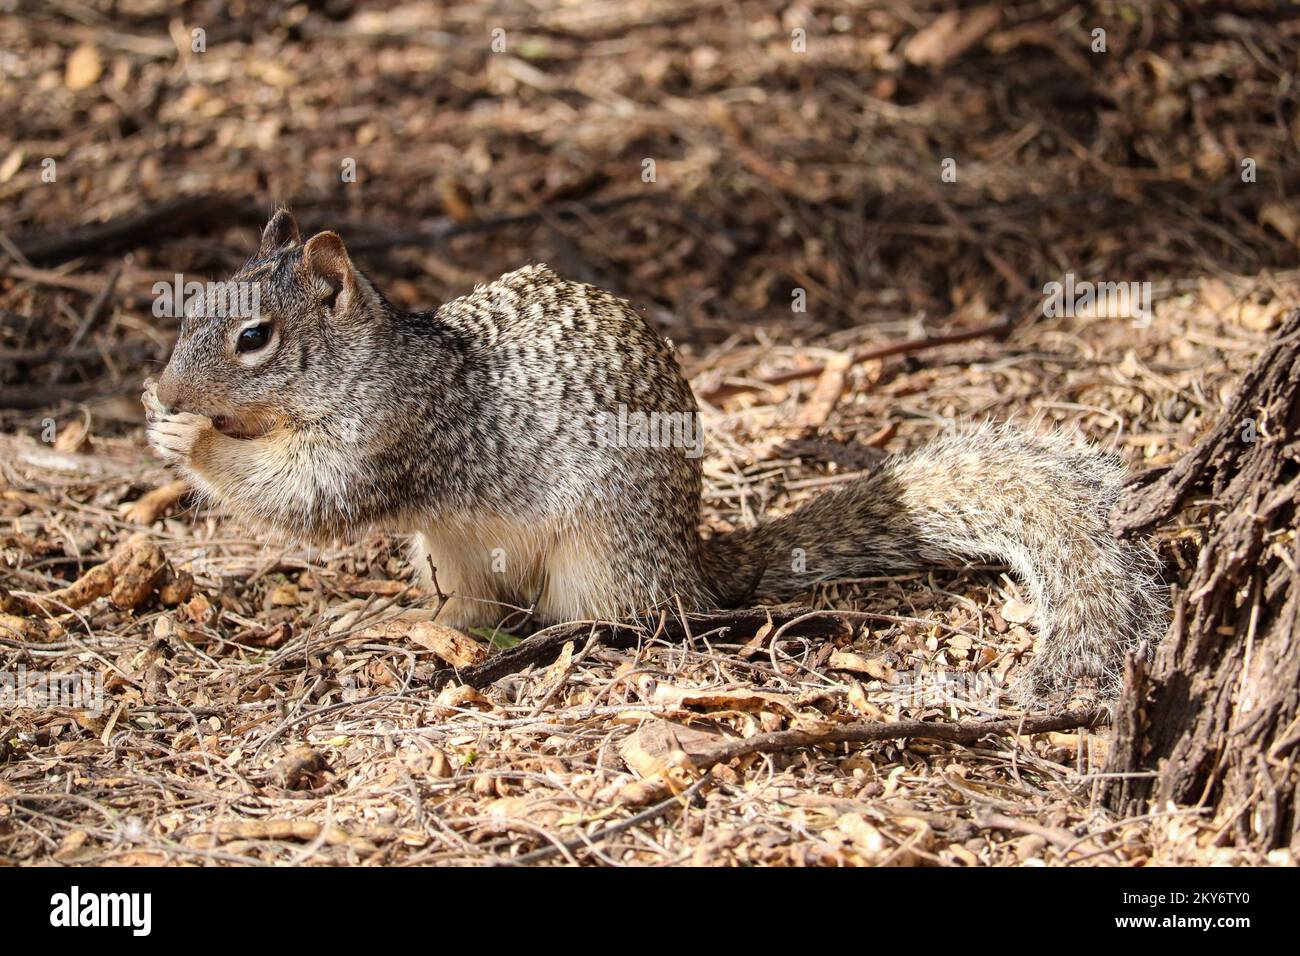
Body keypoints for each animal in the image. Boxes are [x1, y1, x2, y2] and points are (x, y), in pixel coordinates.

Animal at [142, 210, 1170, 702]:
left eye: (254, 338)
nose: (170, 388)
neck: (370, 359)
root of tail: (690, 561)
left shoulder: (391, 435)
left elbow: (309, 498)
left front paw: (186, 439)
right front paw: (164, 419)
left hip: (598, 559)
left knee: (633, 623)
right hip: (450, 551)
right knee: (475, 611)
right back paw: (410, 628)